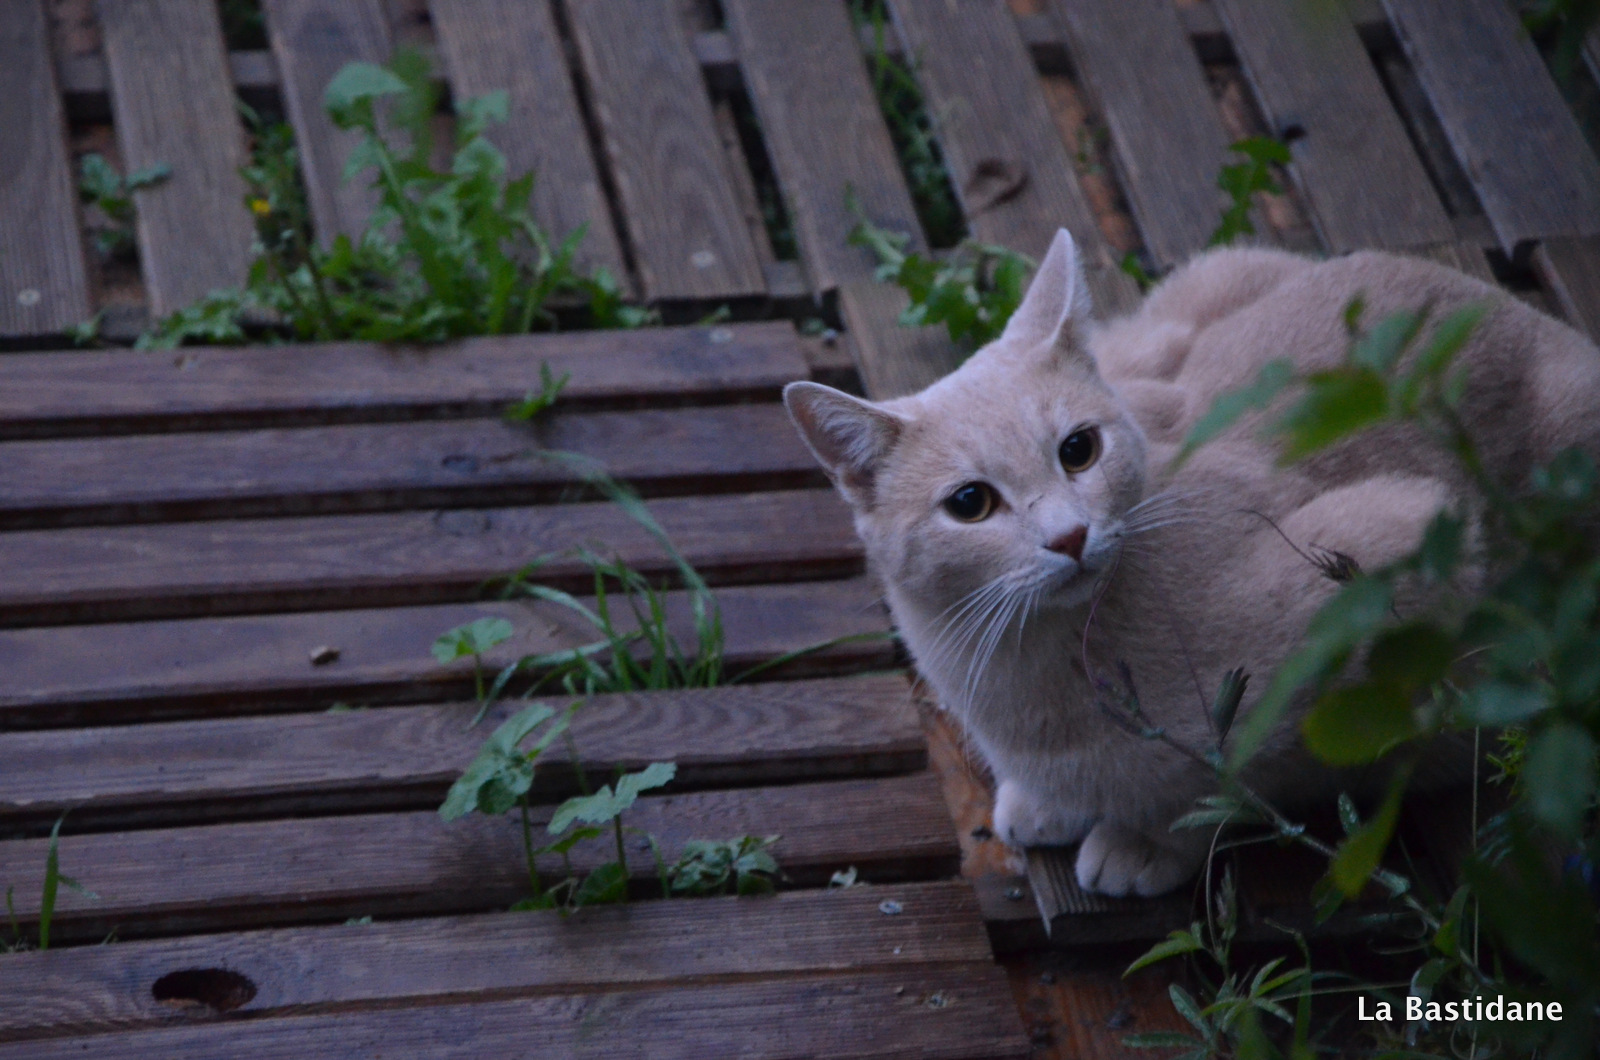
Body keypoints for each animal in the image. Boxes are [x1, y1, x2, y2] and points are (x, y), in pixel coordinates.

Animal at [784, 231, 1600, 897]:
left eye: (1078, 450)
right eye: (970, 503)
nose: (1069, 537)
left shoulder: (1396, 553)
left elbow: (1238, 763)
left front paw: (1145, 840)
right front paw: (1049, 801)